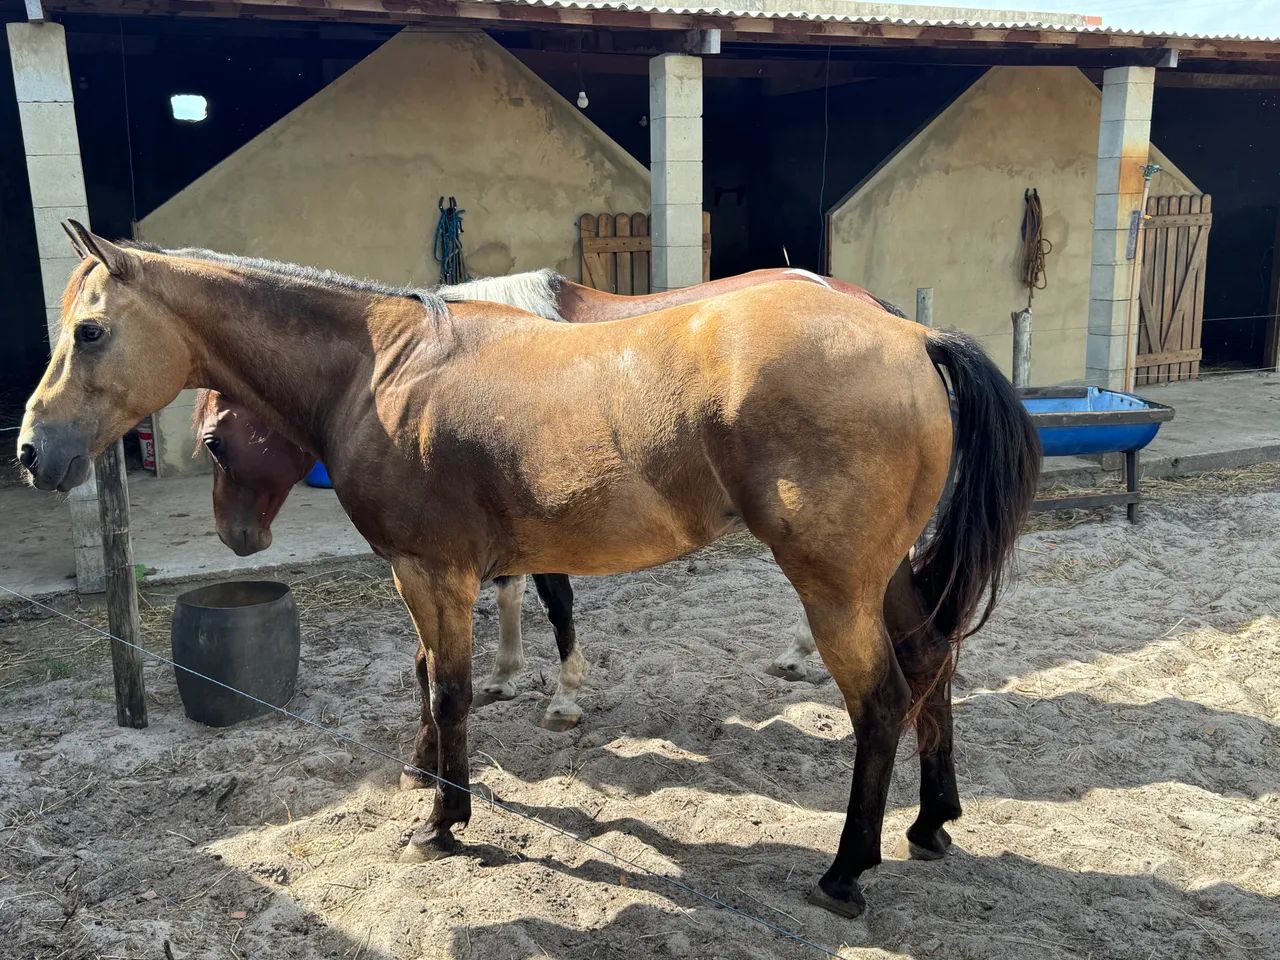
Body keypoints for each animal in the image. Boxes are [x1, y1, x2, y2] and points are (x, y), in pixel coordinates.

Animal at [20, 223, 1040, 918]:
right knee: (932, 664)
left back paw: (845, 871)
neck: (382, 369)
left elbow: (452, 690)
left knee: (881, 702)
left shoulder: (433, 571)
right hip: (885, 576)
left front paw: (443, 822)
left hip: (834, 587)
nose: (34, 453)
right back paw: (931, 822)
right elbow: (430, 676)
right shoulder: (430, 575)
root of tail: (911, 338)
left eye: (91, 331)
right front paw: (426, 779)